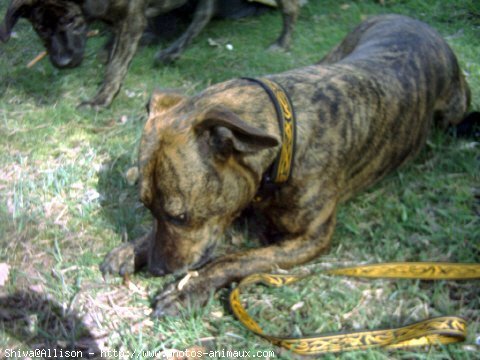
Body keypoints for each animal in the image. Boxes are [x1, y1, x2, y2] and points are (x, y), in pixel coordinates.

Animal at [0, 0, 300, 108]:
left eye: (72, 21)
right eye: (40, 28)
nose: (62, 62)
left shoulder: (132, 18)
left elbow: (116, 65)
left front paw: (101, 99)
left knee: (290, 6)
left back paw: (283, 42)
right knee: (205, 12)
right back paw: (172, 52)